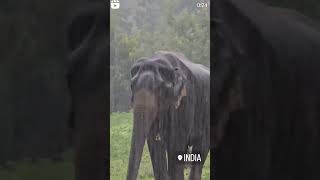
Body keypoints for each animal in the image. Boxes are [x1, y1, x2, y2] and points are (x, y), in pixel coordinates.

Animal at [126, 51, 211, 180]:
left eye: (158, 89)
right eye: (132, 86)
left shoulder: (185, 102)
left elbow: (175, 145)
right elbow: (155, 146)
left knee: (201, 148)